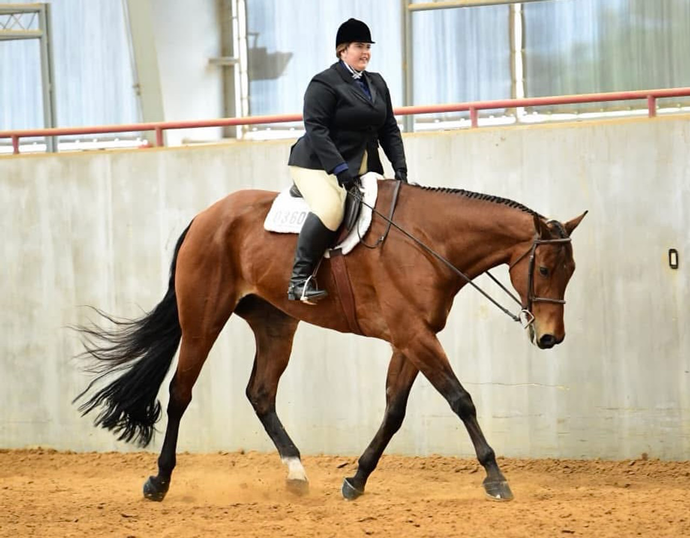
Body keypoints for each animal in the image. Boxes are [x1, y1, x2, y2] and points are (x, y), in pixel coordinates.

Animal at [74, 178, 586, 503]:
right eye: (544, 269)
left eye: (571, 270)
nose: (550, 337)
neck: (427, 241)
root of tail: (206, 215)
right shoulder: (414, 335)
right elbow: (461, 400)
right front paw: (496, 479)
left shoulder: (411, 338)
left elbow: (394, 411)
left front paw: (356, 479)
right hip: (203, 319)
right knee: (181, 391)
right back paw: (159, 481)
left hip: (276, 324)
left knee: (260, 393)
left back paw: (297, 473)